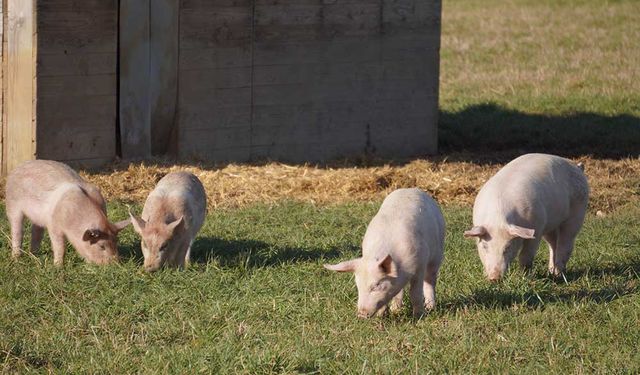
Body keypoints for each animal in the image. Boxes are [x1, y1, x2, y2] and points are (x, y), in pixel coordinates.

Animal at [324, 189, 444, 318]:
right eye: (358, 286)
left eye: (376, 285)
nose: (361, 315)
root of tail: (412, 189)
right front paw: (382, 315)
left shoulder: (420, 264)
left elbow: (415, 293)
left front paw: (418, 316)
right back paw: (395, 310)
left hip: (437, 255)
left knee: (430, 280)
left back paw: (430, 307)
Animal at [462, 153, 588, 282]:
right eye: (484, 246)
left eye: (507, 247)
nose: (494, 278)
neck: (497, 218)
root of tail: (577, 166)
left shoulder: (537, 227)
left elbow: (526, 255)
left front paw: (525, 277)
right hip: (551, 224)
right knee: (553, 245)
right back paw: (551, 272)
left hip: (577, 213)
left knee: (566, 244)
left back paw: (558, 275)